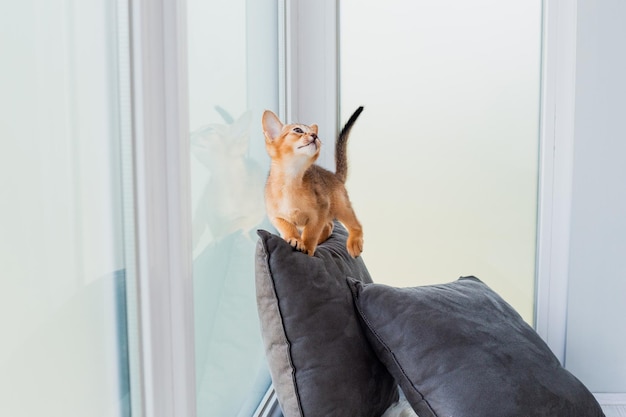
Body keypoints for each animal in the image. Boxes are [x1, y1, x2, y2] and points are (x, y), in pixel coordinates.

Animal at [260, 106, 364, 256]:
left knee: (354, 225)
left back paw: (354, 242)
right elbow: (287, 226)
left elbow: (311, 233)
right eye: (298, 130)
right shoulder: (275, 216)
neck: (291, 179)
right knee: (329, 225)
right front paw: (295, 239)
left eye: (315, 134)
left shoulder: (320, 210)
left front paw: (308, 248)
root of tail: (334, 176)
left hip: (341, 206)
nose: (315, 136)